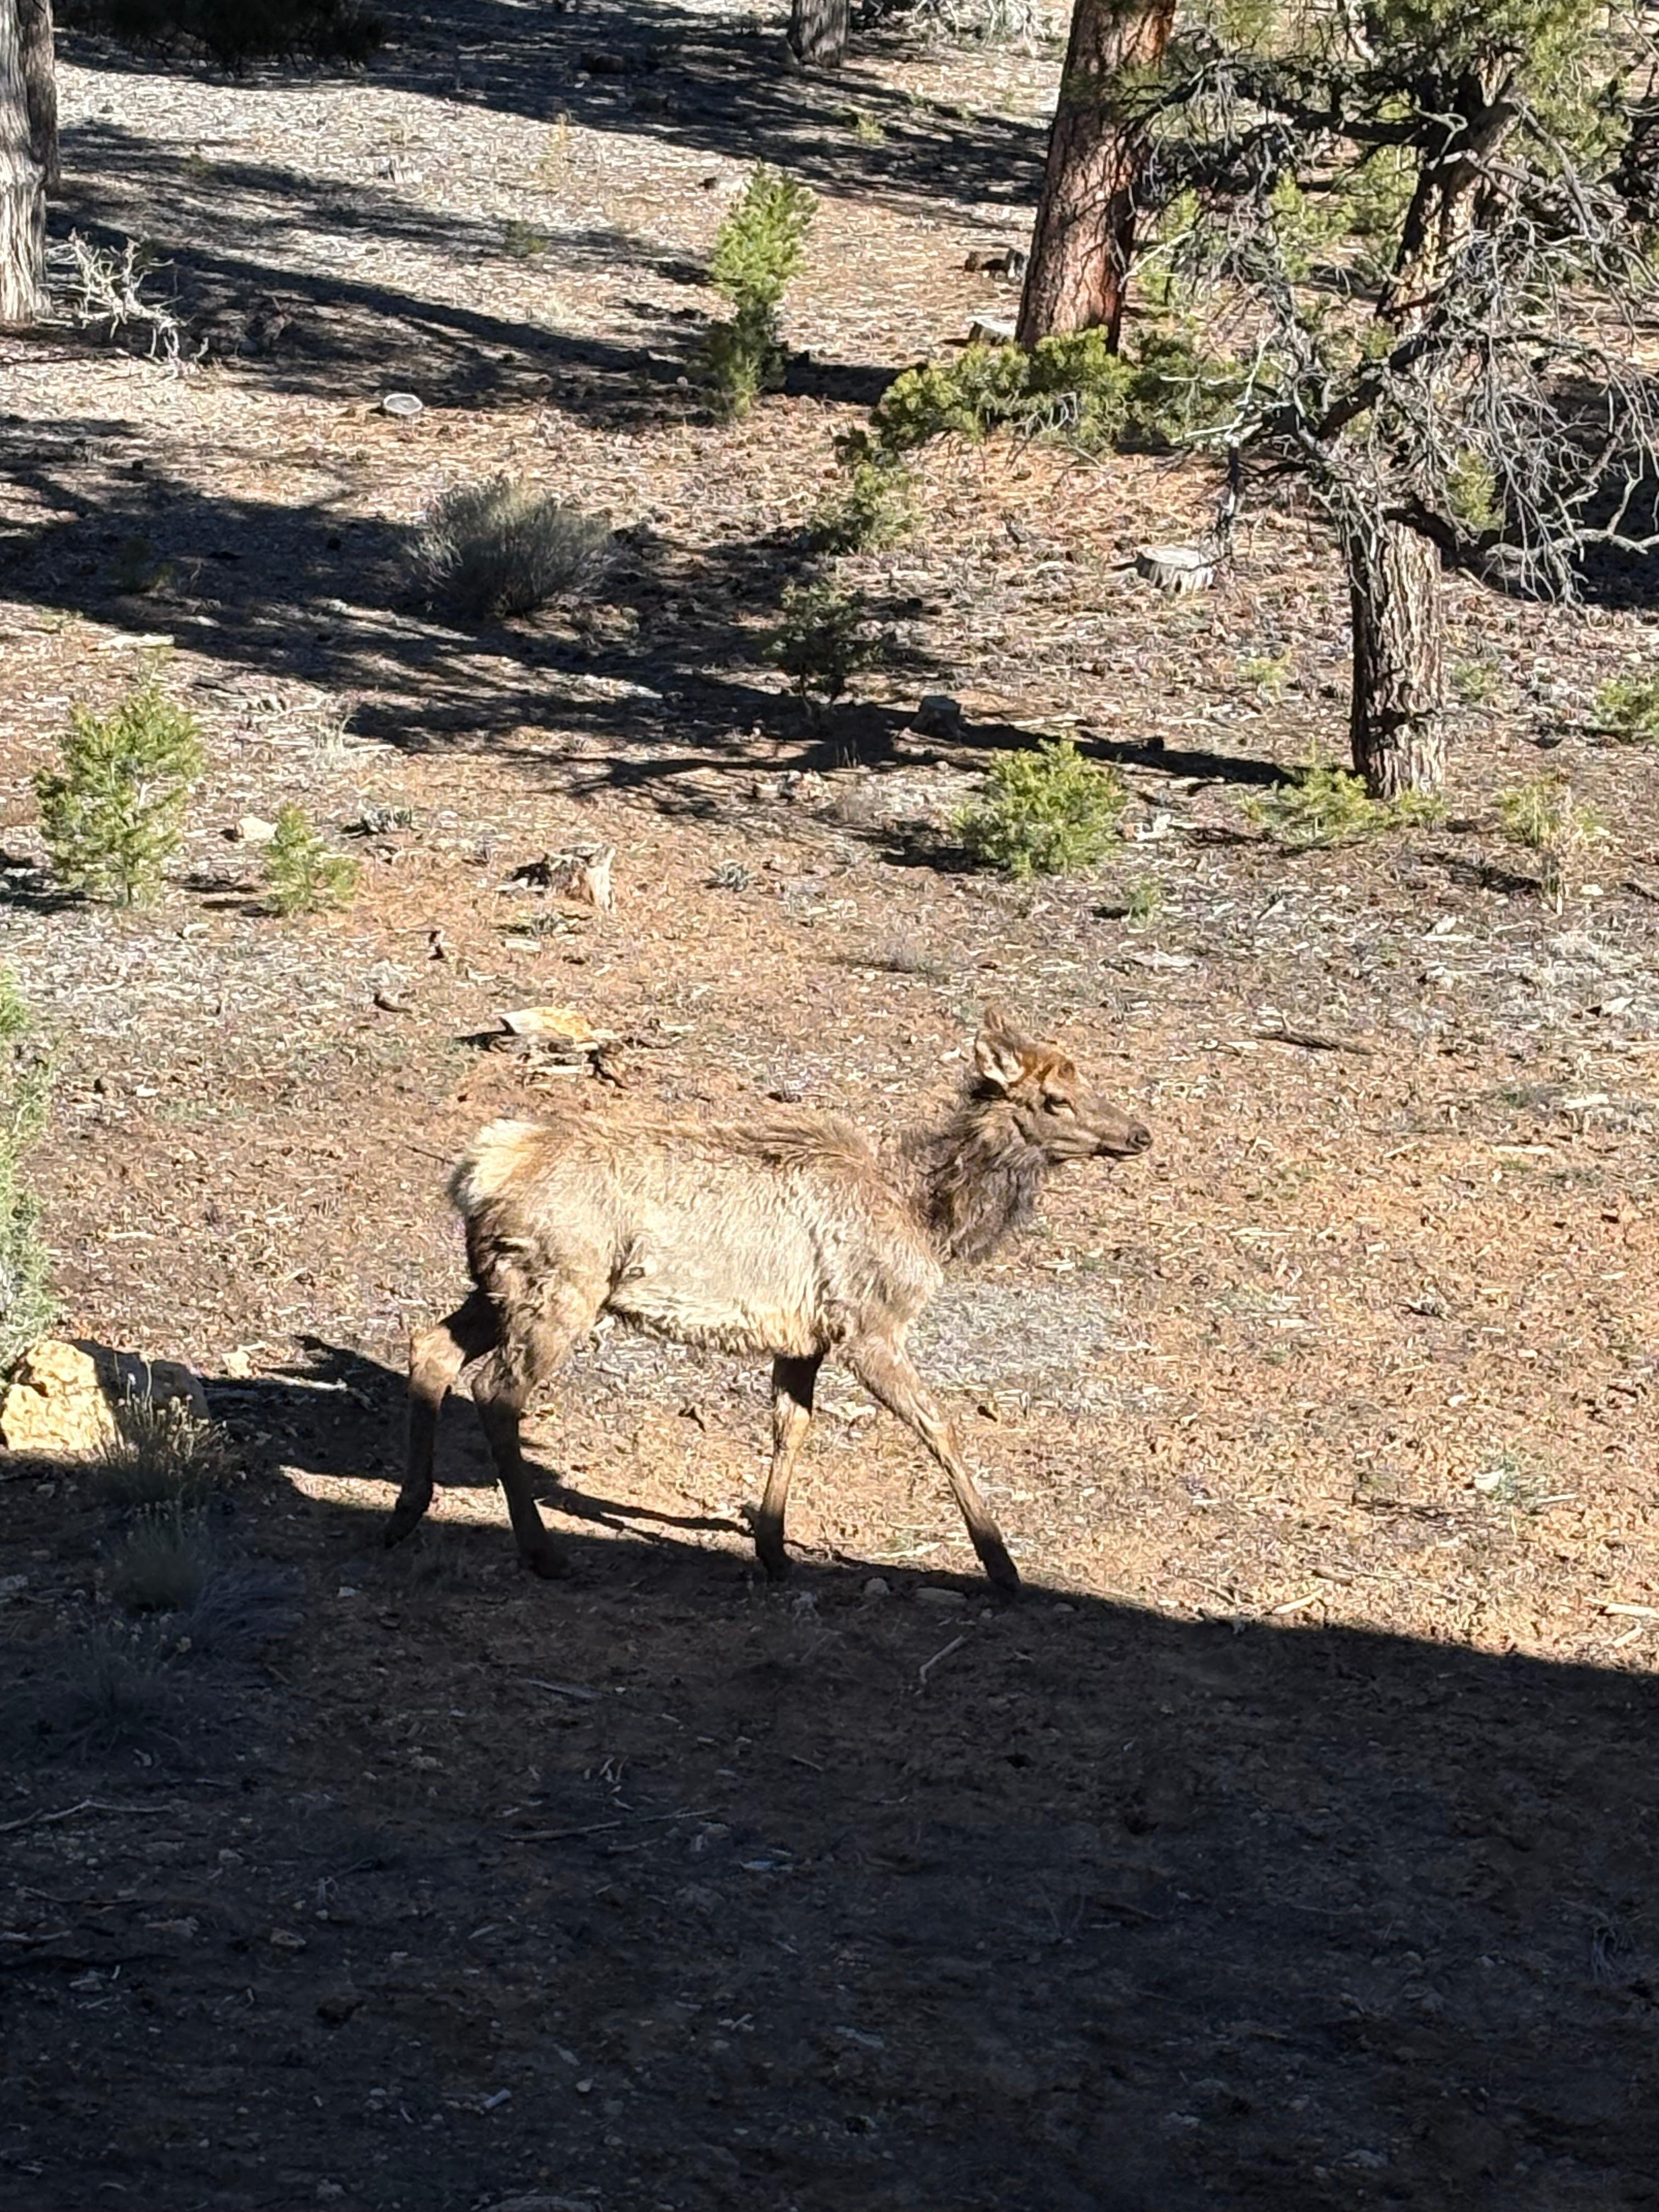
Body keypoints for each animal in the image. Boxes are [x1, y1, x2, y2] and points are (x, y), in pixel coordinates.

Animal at [385, 1005, 1151, 1593]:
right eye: (1056, 1100)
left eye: (1089, 1082)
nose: (1139, 1133)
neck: (930, 1221)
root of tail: (477, 1172)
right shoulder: (869, 1328)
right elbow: (940, 1428)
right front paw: (1002, 1565)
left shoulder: (803, 1339)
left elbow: (792, 1428)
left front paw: (775, 1548)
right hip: (560, 1289)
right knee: (496, 1390)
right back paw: (542, 1551)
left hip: (498, 1284)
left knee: (431, 1348)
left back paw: (407, 1511)